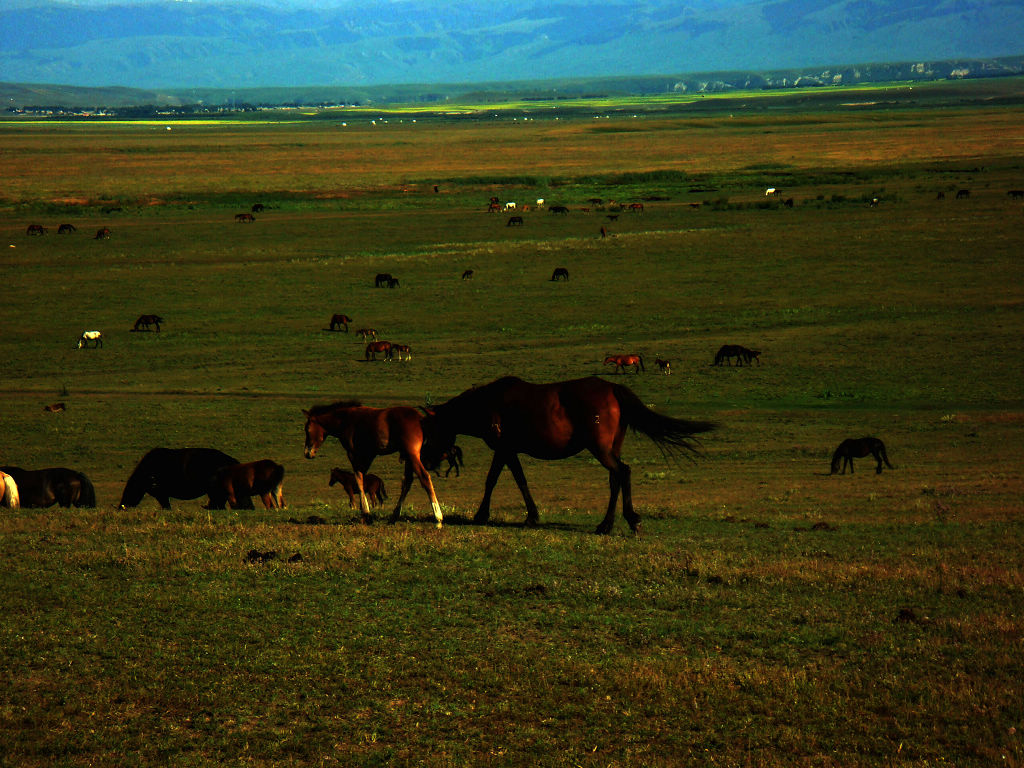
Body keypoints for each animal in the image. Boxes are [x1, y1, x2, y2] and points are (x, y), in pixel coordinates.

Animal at [303, 399, 448, 528]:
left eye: (307, 429)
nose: (307, 453)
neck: (345, 420)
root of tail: (420, 418)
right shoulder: (368, 455)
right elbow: (362, 478)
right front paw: (365, 513)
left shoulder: (353, 453)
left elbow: (359, 478)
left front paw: (366, 514)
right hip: (408, 457)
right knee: (407, 482)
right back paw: (394, 517)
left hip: (412, 454)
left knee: (424, 477)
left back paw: (438, 518)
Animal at [421, 376, 712, 536]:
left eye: (431, 431)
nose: (428, 462)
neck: (488, 403)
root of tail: (612, 389)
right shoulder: (510, 451)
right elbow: (520, 480)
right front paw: (531, 516)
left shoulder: (503, 449)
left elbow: (493, 479)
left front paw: (482, 515)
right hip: (610, 448)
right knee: (616, 479)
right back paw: (610, 523)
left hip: (601, 449)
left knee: (622, 472)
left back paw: (620, 523)